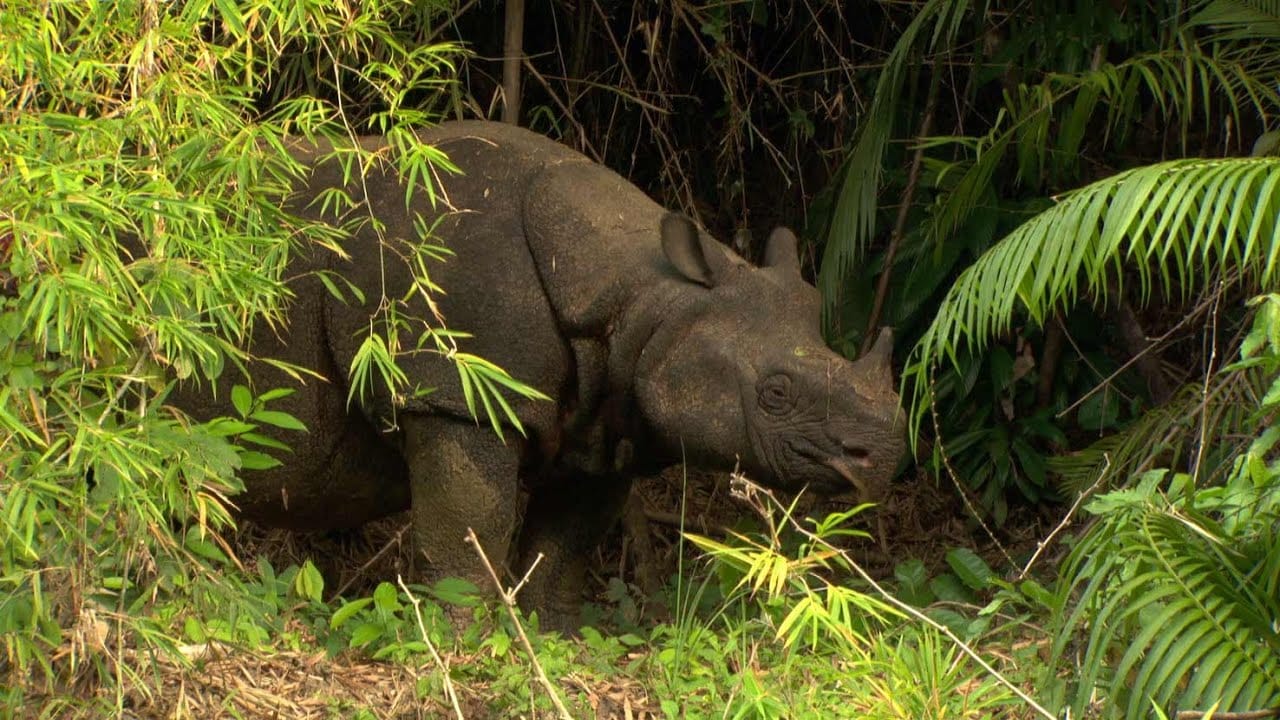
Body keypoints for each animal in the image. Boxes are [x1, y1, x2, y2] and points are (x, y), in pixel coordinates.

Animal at [192, 120, 905, 623]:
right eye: (776, 393)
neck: (645, 291)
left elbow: (565, 543)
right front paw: (458, 634)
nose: (883, 458)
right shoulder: (457, 390)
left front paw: (557, 634)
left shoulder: (611, 419)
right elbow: (469, 525)